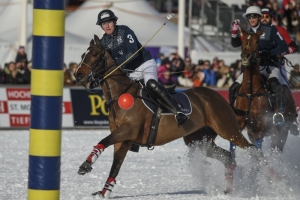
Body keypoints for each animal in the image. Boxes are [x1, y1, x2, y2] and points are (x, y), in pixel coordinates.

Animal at [72, 34, 272, 198]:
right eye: (82, 55)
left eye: (95, 54)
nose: (78, 74)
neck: (121, 95)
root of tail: (218, 96)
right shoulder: (124, 140)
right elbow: (115, 166)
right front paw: (103, 192)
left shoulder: (128, 131)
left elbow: (103, 141)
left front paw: (86, 164)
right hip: (199, 140)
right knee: (228, 157)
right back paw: (228, 191)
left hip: (227, 129)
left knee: (253, 150)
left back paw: (273, 179)